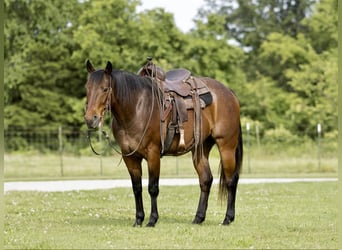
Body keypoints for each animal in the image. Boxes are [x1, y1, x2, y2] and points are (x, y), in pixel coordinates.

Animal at [84, 60, 242, 227]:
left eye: (105, 89)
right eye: (87, 88)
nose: (90, 119)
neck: (136, 107)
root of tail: (229, 92)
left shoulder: (153, 153)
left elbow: (153, 188)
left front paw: (152, 220)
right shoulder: (130, 157)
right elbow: (137, 188)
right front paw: (138, 219)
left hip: (226, 147)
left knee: (231, 180)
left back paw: (228, 218)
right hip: (200, 149)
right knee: (206, 179)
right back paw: (198, 218)